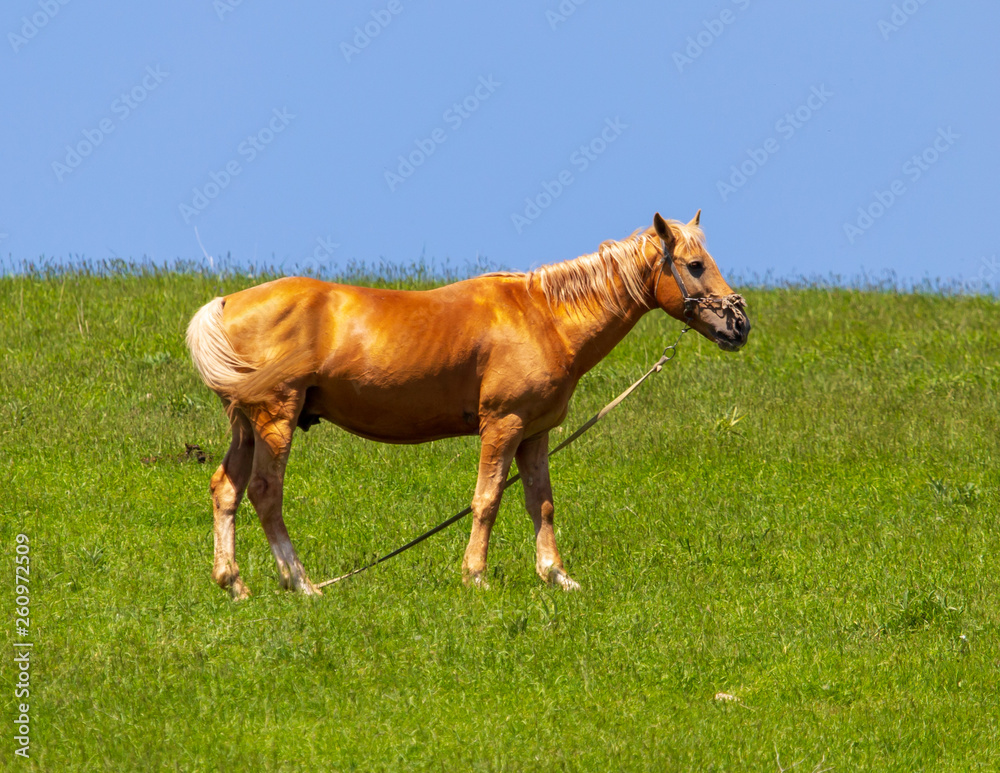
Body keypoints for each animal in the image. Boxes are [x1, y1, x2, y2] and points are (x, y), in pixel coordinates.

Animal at [186, 211, 750, 599]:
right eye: (695, 265)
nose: (740, 325)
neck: (545, 316)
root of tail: (227, 303)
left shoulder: (535, 433)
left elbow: (541, 503)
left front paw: (557, 576)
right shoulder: (503, 424)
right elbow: (488, 499)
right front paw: (475, 576)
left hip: (246, 426)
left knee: (226, 491)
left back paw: (233, 582)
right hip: (275, 419)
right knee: (264, 493)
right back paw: (301, 583)